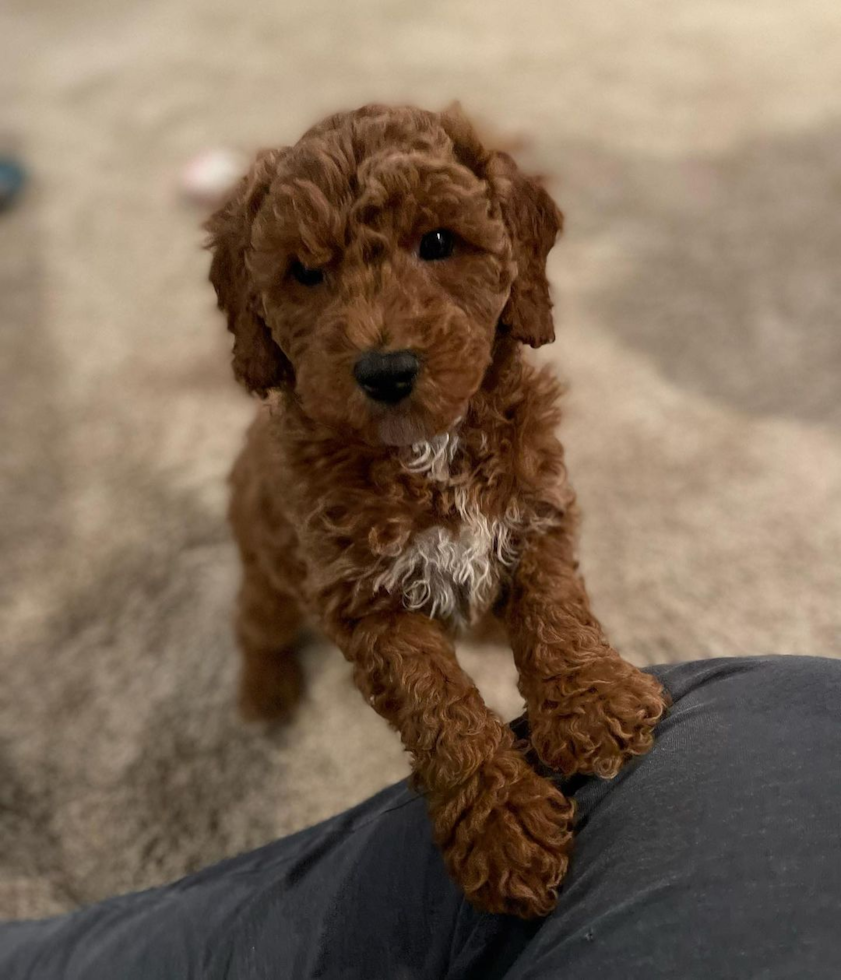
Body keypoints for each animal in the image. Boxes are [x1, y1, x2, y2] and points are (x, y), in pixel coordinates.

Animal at [207, 107, 668, 920]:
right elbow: (438, 706)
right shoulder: (364, 600)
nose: (385, 370)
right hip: (270, 573)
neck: (429, 450)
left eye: (439, 243)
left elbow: (553, 606)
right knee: (255, 624)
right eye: (305, 273)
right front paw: (501, 826)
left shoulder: (536, 510)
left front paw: (592, 703)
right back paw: (266, 691)